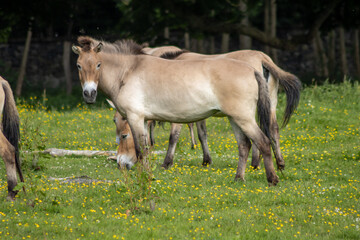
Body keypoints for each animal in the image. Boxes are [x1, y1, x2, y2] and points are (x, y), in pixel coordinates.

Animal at [72, 36, 282, 186]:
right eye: (79, 65)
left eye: (98, 64)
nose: (89, 94)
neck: (128, 71)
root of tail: (253, 69)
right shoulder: (145, 120)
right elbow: (147, 149)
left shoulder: (135, 118)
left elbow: (142, 151)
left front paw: (146, 178)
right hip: (234, 118)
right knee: (244, 145)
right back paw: (239, 179)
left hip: (244, 118)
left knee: (263, 142)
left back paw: (272, 179)